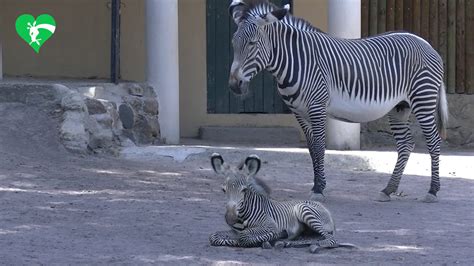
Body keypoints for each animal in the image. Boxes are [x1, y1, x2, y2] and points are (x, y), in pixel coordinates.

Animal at [208, 153, 356, 252]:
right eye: (223, 190)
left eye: (244, 190)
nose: (230, 218)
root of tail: (325, 208)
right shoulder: (233, 230)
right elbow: (214, 236)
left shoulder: (270, 225)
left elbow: (243, 237)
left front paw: (267, 240)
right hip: (307, 230)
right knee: (315, 238)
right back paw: (284, 243)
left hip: (303, 209)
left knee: (330, 239)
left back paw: (311, 246)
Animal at [228, 0, 450, 204]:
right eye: (233, 44)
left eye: (252, 44)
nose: (234, 85)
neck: (295, 61)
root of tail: (426, 43)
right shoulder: (299, 113)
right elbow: (311, 149)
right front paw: (318, 184)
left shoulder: (316, 107)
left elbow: (319, 147)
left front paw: (318, 189)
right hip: (399, 107)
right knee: (405, 144)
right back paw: (388, 189)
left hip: (423, 99)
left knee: (433, 141)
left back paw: (432, 191)